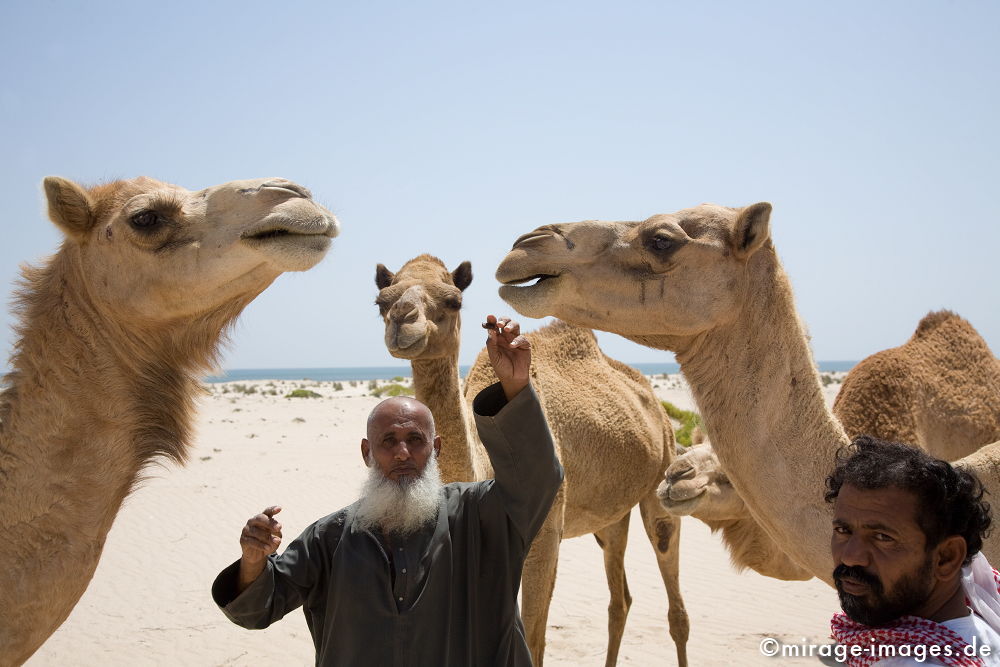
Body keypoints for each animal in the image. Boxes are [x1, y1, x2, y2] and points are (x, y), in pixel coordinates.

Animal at [372, 256, 692, 667]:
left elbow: (535, 637)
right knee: (619, 598)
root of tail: (653, 401)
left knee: (671, 582)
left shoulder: (547, 532)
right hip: (610, 517)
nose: (402, 318)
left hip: (662, 474)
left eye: (453, 301)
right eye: (382, 301)